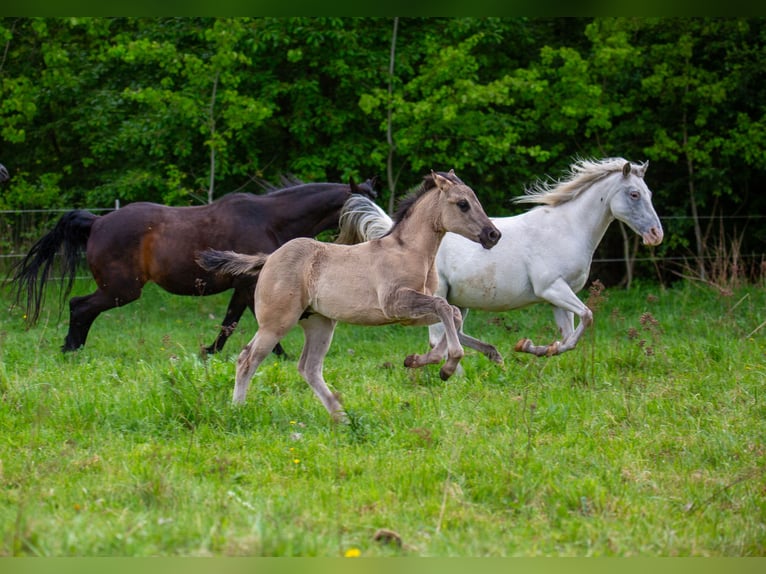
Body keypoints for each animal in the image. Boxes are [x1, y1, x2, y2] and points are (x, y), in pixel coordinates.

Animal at [9, 178, 377, 354]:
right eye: (363, 205)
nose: (382, 232)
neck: (270, 220)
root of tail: (98, 222)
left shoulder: (246, 287)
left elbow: (234, 323)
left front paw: (211, 352)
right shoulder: (249, 285)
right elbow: (241, 323)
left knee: (82, 309)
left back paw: (72, 347)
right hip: (120, 290)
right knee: (80, 306)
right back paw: (71, 348)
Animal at [196, 170, 501, 420]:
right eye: (462, 204)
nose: (493, 234)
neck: (409, 252)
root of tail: (269, 258)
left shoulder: (409, 315)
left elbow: (452, 313)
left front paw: (420, 361)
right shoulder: (396, 304)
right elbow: (445, 308)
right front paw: (447, 366)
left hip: (319, 323)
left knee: (308, 367)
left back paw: (341, 416)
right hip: (276, 324)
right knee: (247, 359)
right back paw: (238, 409)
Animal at [337, 158, 664, 362]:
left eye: (648, 192)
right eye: (634, 194)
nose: (655, 234)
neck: (567, 228)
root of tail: (393, 236)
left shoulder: (557, 296)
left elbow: (569, 335)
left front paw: (535, 347)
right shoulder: (552, 288)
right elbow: (586, 317)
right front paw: (534, 346)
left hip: (459, 301)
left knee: (456, 330)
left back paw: (491, 355)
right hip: (435, 294)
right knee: (439, 335)